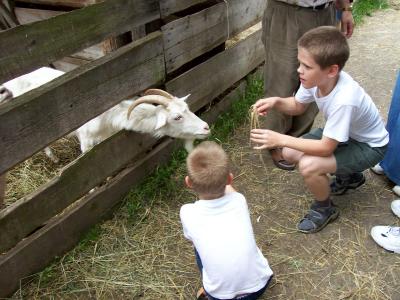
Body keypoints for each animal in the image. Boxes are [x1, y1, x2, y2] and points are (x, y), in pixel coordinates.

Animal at [0, 66, 211, 161]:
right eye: (177, 117)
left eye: (187, 108)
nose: (206, 128)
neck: (107, 116)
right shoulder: (86, 142)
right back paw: (53, 157)